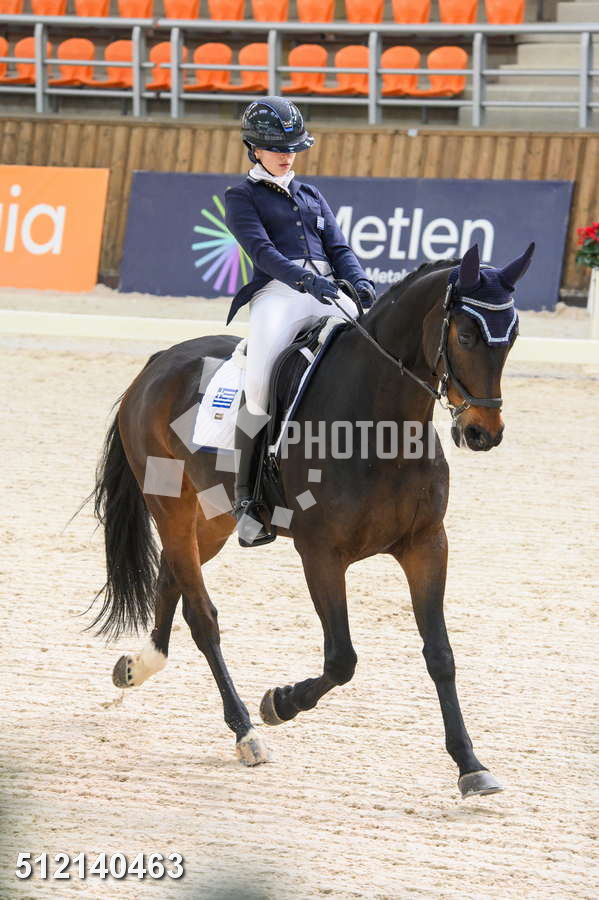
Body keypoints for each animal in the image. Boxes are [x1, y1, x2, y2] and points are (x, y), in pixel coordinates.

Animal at [89, 242, 533, 797]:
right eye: (467, 335)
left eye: (511, 338)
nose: (483, 432)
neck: (380, 424)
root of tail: (158, 362)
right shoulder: (322, 554)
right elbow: (341, 658)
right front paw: (278, 703)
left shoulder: (427, 544)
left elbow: (441, 654)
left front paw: (470, 765)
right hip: (169, 506)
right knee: (203, 616)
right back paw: (246, 731)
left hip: (209, 519)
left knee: (172, 576)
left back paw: (136, 666)